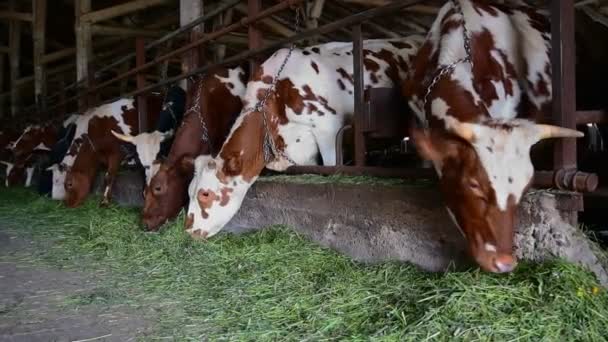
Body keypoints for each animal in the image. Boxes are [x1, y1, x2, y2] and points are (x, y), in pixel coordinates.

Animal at [184, 34, 422, 238]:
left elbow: (330, 167)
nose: (188, 229)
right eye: (188, 192)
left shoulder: (328, 129)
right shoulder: (302, 151)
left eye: (204, 194)